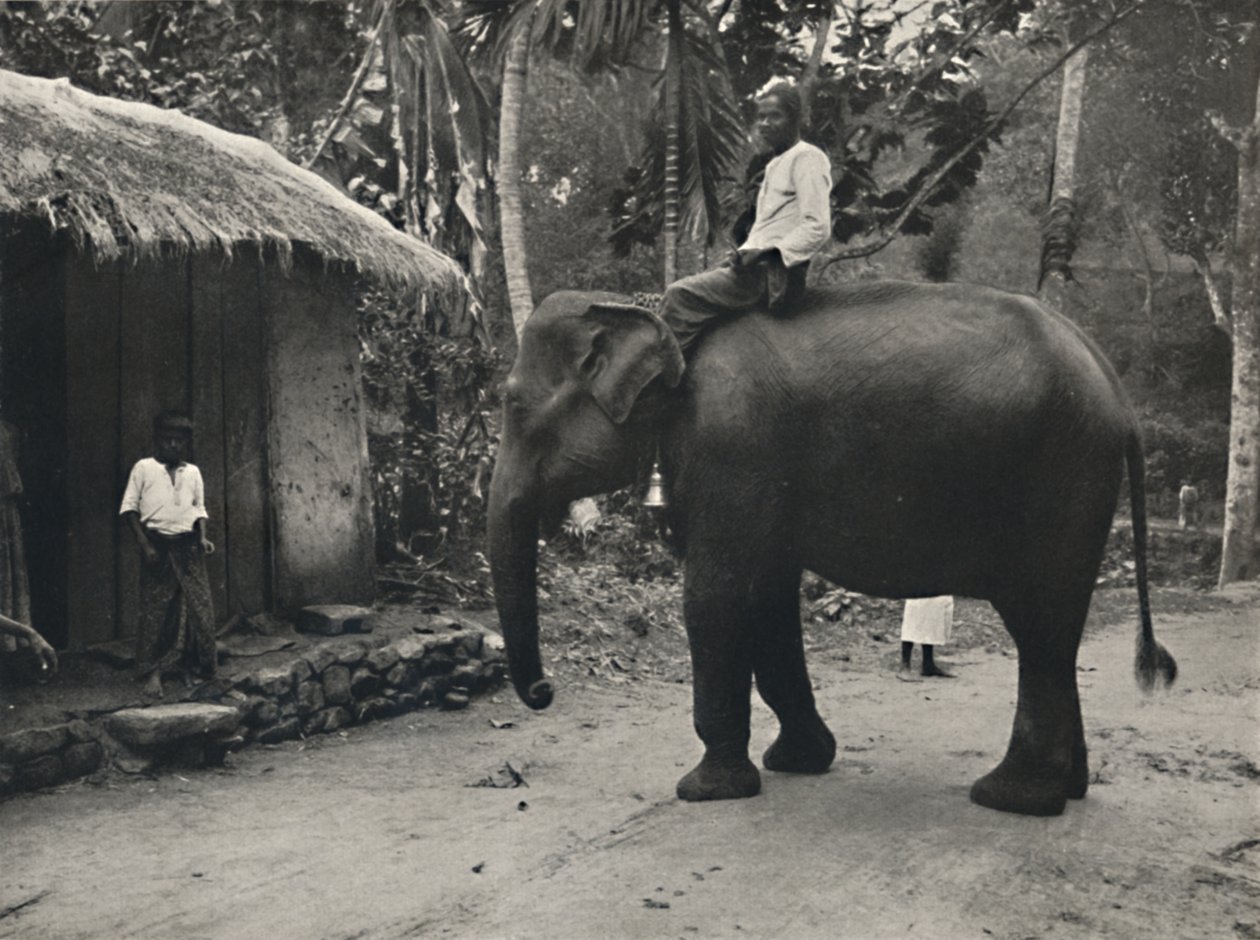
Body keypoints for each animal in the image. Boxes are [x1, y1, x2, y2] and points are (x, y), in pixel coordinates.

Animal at [486, 278, 1174, 811]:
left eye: (512, 405)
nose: (544, 693)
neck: (644, 311)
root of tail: (1117, 392)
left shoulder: (732, 446)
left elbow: (715, 599)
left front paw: (705, 791)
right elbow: (767, 602)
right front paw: (797, 762)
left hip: (1060, 478)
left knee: (1039, 626)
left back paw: (1010, 798)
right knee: (1055, 634)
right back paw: (1068, 789)